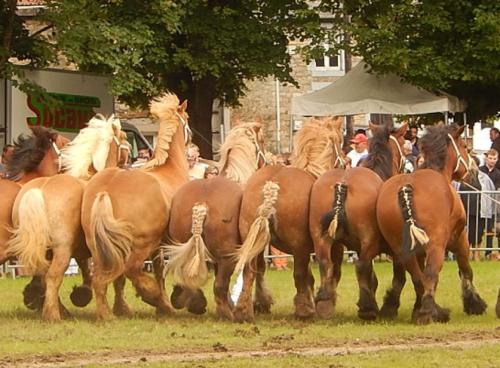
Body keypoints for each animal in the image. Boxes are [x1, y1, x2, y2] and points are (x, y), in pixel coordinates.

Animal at [8, 116, 130, 320]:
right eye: (124, 137)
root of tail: (38, 190)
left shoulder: (81, 249)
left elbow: (86, 270)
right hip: (62, 250)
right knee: (53, 276)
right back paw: (53, 315)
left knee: (43, 277)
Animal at [165, 121, 268, 320]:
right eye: (263, 141)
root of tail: (202, 204)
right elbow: (253, 273)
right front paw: (250, 308)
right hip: (227, 257)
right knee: (219, 286)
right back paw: (227, 314)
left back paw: (191, 301)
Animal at [233, 116, 346, 320]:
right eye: (340, 141)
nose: (346, 162)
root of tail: (271, 185)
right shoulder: (334, 245)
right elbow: (331, 271)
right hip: (299, 245)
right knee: (305, 272)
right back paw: (306, 309)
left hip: (254, 241)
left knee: (250, 271)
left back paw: (245, 309)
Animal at [310, 122, 408, 320]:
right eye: (403, 143)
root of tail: (342, 184)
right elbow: (398, 275)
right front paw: (388, 306)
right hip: (368, 239)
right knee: (360, 266)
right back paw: (367, 308)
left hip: (322, 238)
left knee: (325, 263)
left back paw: (325, 303)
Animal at [376, 124, 486, 324]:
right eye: (465, 147)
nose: (474, 171)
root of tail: (406, 188)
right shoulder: (460, 240)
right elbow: (465, 270)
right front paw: (474, 303)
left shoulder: (418, 250)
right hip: (436, 246)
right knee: (431, 273)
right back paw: (429, 312)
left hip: (402, 249)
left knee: (417, 276)